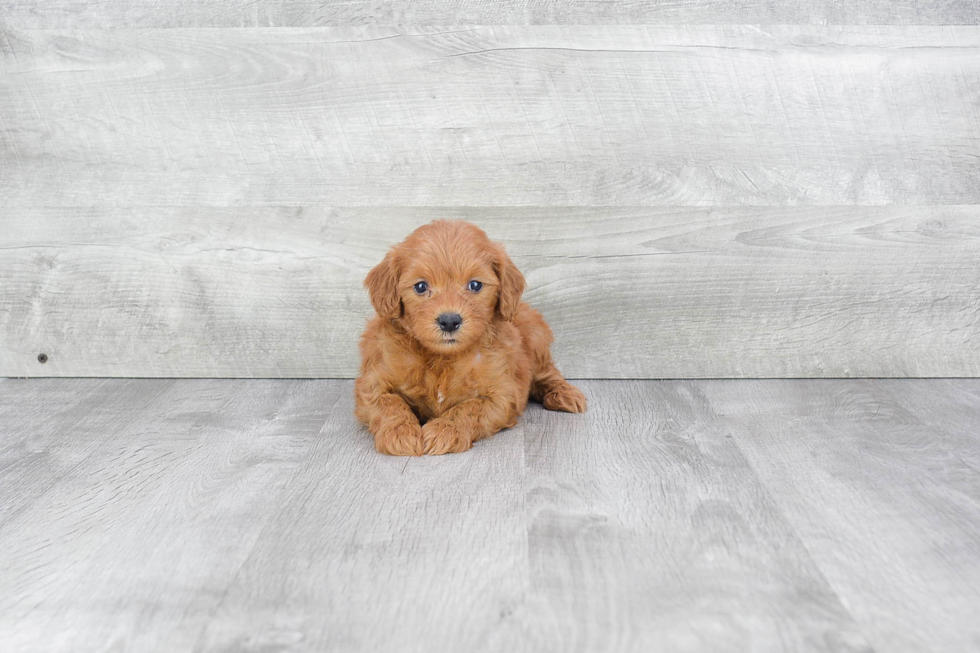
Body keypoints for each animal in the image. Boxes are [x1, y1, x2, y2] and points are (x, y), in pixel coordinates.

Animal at [354, 219, 584, 454]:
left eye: (475, 285)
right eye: (420, 286)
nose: (449, 321)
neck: (442, 358)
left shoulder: (501, 395)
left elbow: (470, 408)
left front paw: (445, 430)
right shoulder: (371, 384)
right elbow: (389, 402)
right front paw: (401, 433)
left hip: (536, 336)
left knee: (548, 373)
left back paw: (564, 394)